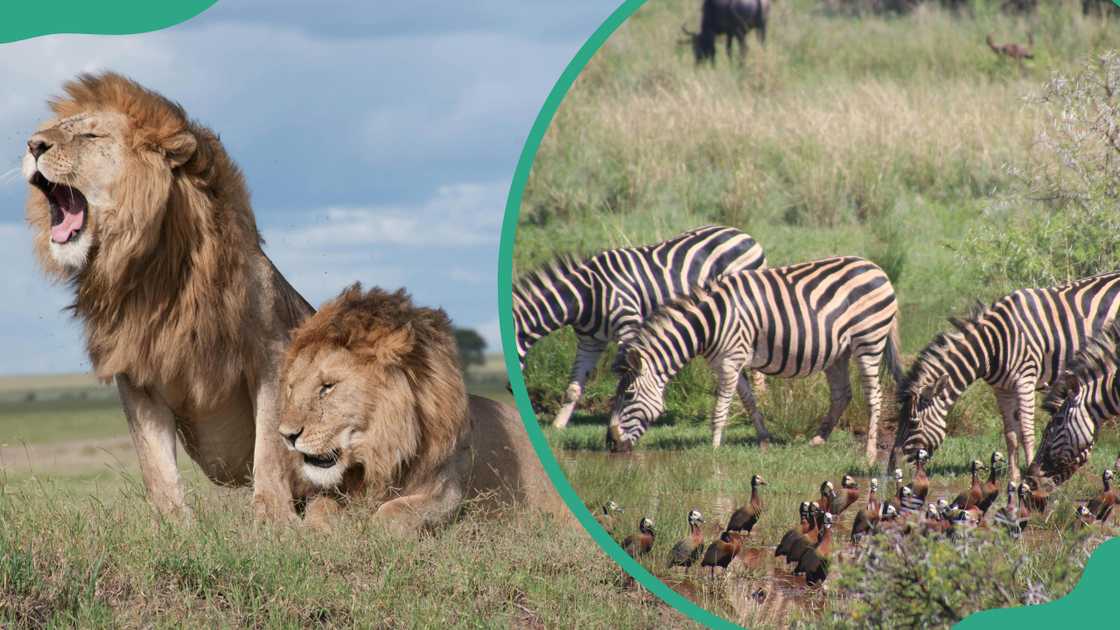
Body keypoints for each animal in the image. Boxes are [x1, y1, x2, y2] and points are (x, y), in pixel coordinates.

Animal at [24, 72, 312, 521]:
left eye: (90, 135)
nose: (33, 144)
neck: (151, 272)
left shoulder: (271, 354)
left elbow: (269, 447)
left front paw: (272, 519)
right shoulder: (136, 372)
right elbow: (155, 464)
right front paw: (176, 526)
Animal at [277, 284, 566, 531]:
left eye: (327, 387)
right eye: (292, 387)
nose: (286, 436)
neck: (380, 452)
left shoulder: (447, 492)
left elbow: (392, 512)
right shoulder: (330, 490)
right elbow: (319, 508)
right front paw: (317, 530)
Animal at [513, 225, 766, 429]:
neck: (585, 295)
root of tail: (744, 234)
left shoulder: (628, 324)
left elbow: (627, 374)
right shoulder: (590, 341)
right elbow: (573, 388)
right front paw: (557, 426)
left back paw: (763, 401)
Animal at [605, 256, 903, 463]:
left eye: (629, 395)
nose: (611, 444)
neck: (708, 323)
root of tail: (877, 269)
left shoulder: (730, 361)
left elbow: (721, 406)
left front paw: (714, 447)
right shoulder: (729, 361)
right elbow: (748, 400)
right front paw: (764, 440)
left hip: (869, 340)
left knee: (873, 395)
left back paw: (870, 452)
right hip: (838, 352)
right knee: (843, 394)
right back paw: (819, 439)